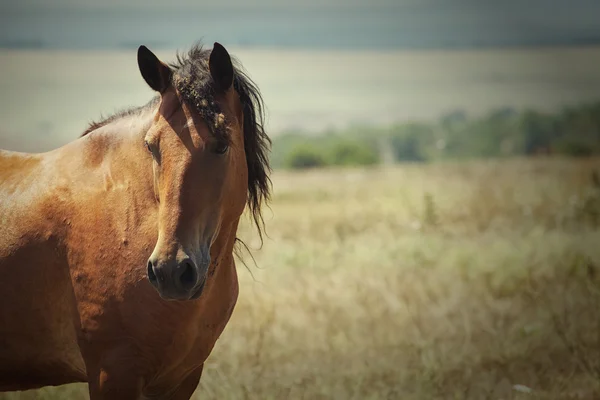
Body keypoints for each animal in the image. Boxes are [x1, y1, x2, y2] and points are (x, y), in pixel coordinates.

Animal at [0, 42, 272, 398]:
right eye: (151, 146)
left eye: (222, 145)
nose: (171, 271)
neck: (132, 219)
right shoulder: (112, 373)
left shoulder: (181, 379)